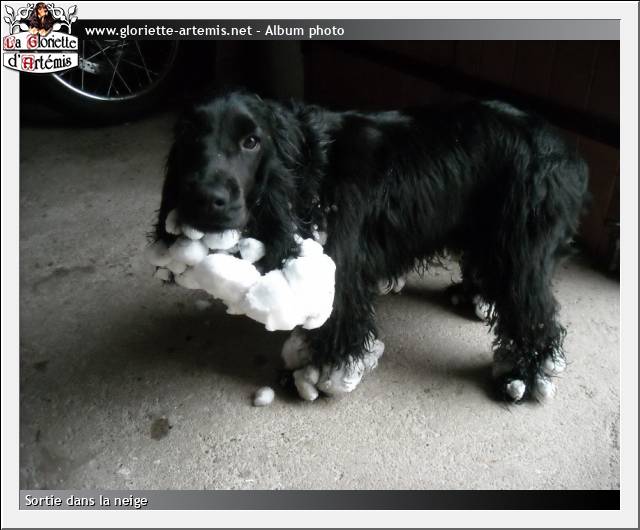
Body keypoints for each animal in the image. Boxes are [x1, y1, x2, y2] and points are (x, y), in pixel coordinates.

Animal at [154, 91, 589, 403]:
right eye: (191, 138)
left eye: (250, 141)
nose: (205, 199)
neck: (309, 162)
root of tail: (568, 152)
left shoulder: (343, 268)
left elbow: (339, 323)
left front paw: (319, 375)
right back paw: (472, 296)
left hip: (522, 250)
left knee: (534, 312)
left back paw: (523, 375)